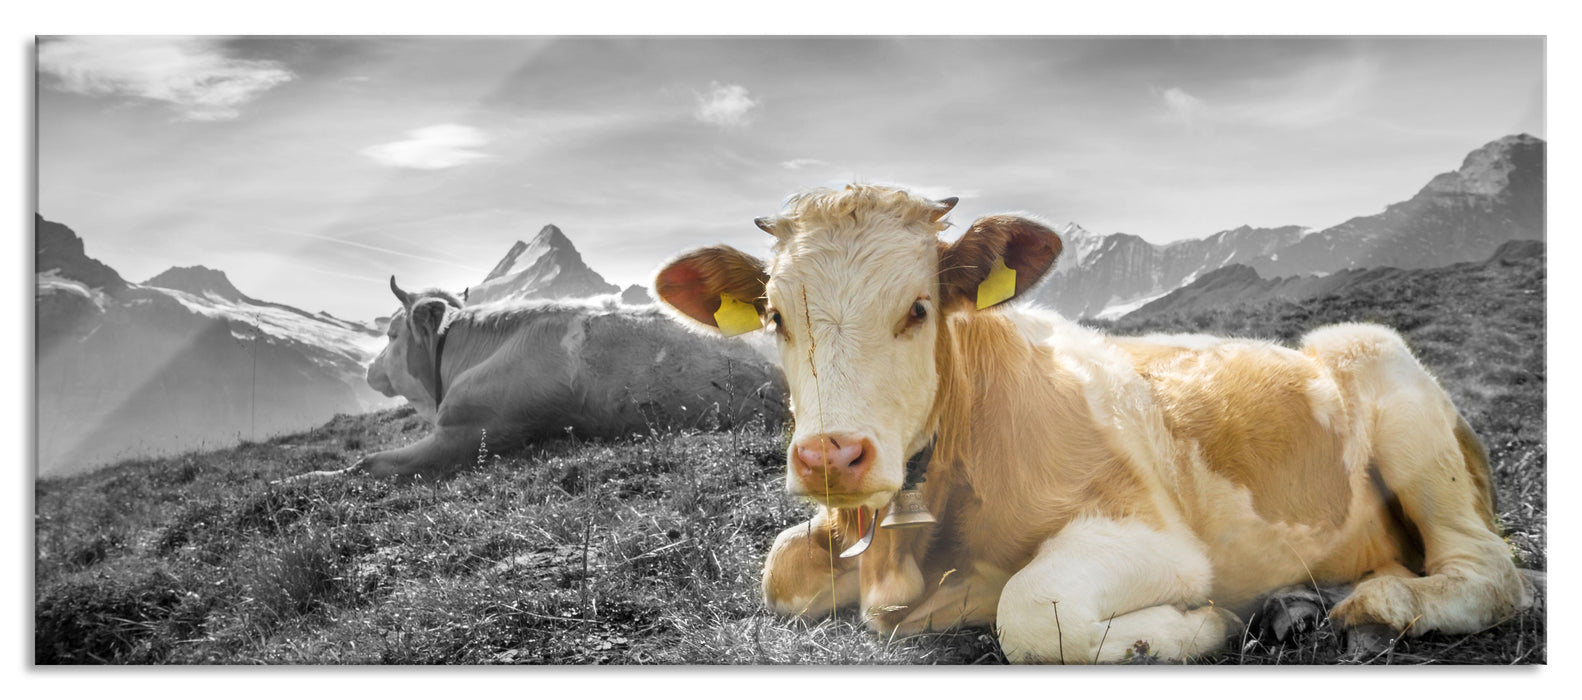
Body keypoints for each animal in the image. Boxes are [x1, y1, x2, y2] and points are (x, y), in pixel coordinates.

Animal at [652, 184, 1531, 664]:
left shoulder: (1152, 533)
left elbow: (1031, 611)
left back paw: (1377, 605)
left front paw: (1199, 624)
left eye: (919, 308)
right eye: (775, 315)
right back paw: (1295, 606)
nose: (833, 456)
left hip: (1387, 378)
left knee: (1489, 571)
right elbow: (778, 571)